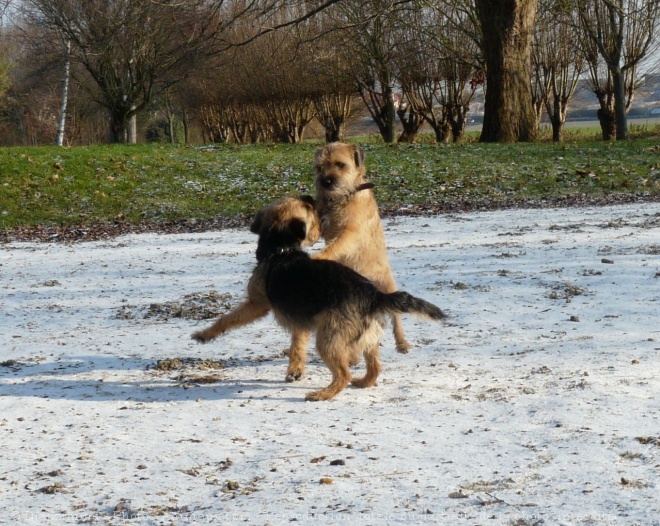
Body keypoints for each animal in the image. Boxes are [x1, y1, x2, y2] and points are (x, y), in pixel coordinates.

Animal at [193, 196, 446, 402]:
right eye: (307, 206)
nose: (310, 197)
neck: (281, 249)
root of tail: (375, 296)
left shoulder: (257, 304)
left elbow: (227, 319)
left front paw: (204, 335)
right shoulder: (301, 316)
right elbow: (297, 344)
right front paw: (295, 369)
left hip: (328, 340)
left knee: (343, 374)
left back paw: (322, 394)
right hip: (368, 338)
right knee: (374, 367)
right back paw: (362, 382)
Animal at [284, 143, 410, 384]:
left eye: (340, 165)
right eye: (319, 167)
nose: (326, 182)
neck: (341, 199)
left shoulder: (351, 230)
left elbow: (337, 244)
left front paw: (321, 256)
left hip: (387, 286)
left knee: (396, 319)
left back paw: (402, 343)